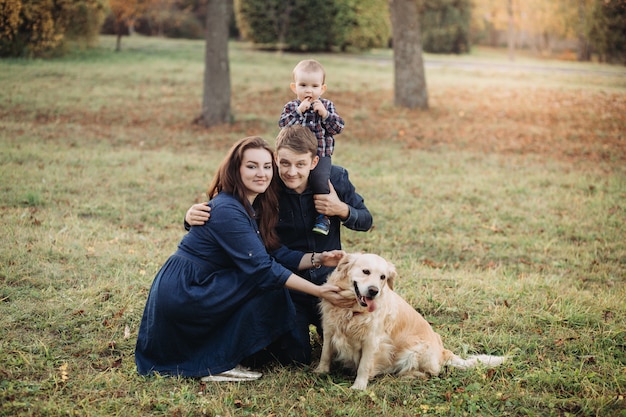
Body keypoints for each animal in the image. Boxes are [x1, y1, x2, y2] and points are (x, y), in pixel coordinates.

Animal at [314, 252, 504, 388]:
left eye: (383, 277)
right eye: (365, 271)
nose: (374, 291)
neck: (352, 310)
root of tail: (443, 351)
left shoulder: (372, 341)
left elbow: (364, 365)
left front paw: (359, 387)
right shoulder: (329, 329)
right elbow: (325, 354)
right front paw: (320, 371)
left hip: (415, 351)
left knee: (430, 373)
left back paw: (407, 375)